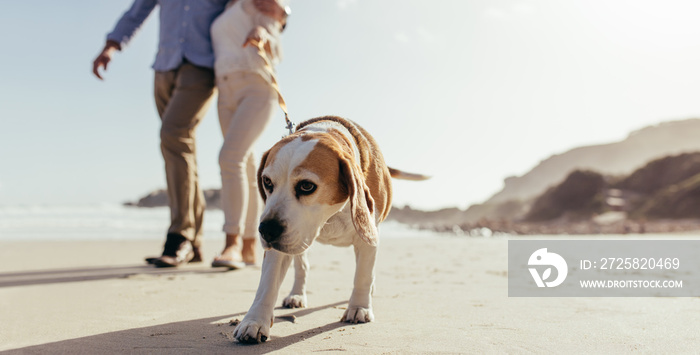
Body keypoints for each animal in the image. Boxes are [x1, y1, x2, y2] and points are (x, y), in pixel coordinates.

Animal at [234, 117, 426, 344]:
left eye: (306, 186)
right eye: (267, 182)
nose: (266, 230)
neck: (331, 215)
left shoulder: (368, 236)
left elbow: (363, 275)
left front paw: (359, 307)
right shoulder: (278, 248)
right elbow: (267, 285)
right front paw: (254, 321)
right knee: (302, 267)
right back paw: (297, 295)